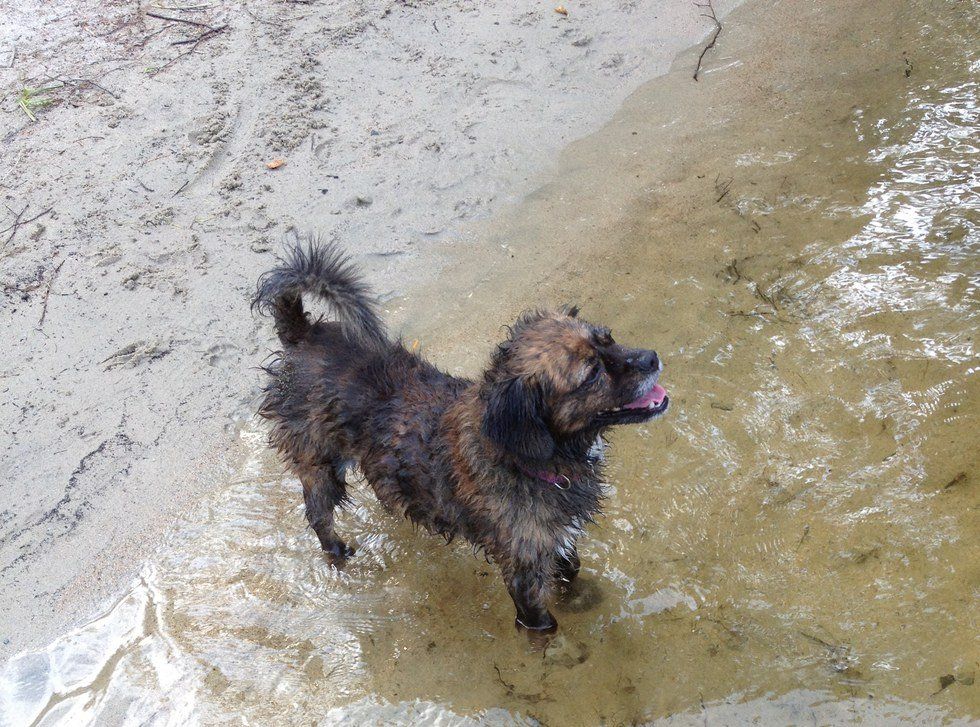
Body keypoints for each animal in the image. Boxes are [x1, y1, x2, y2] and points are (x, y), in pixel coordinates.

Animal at [255, 243, 668, 632]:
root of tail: (302, 333)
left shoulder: (557, 541)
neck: (526, 456)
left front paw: (581, 599)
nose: (652, 357)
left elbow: (572, 572)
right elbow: (543, 625)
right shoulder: (523, 574)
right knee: (318, 514)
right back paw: (337, 551)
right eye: (592, 372)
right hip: (319, 462)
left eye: (609, 339)